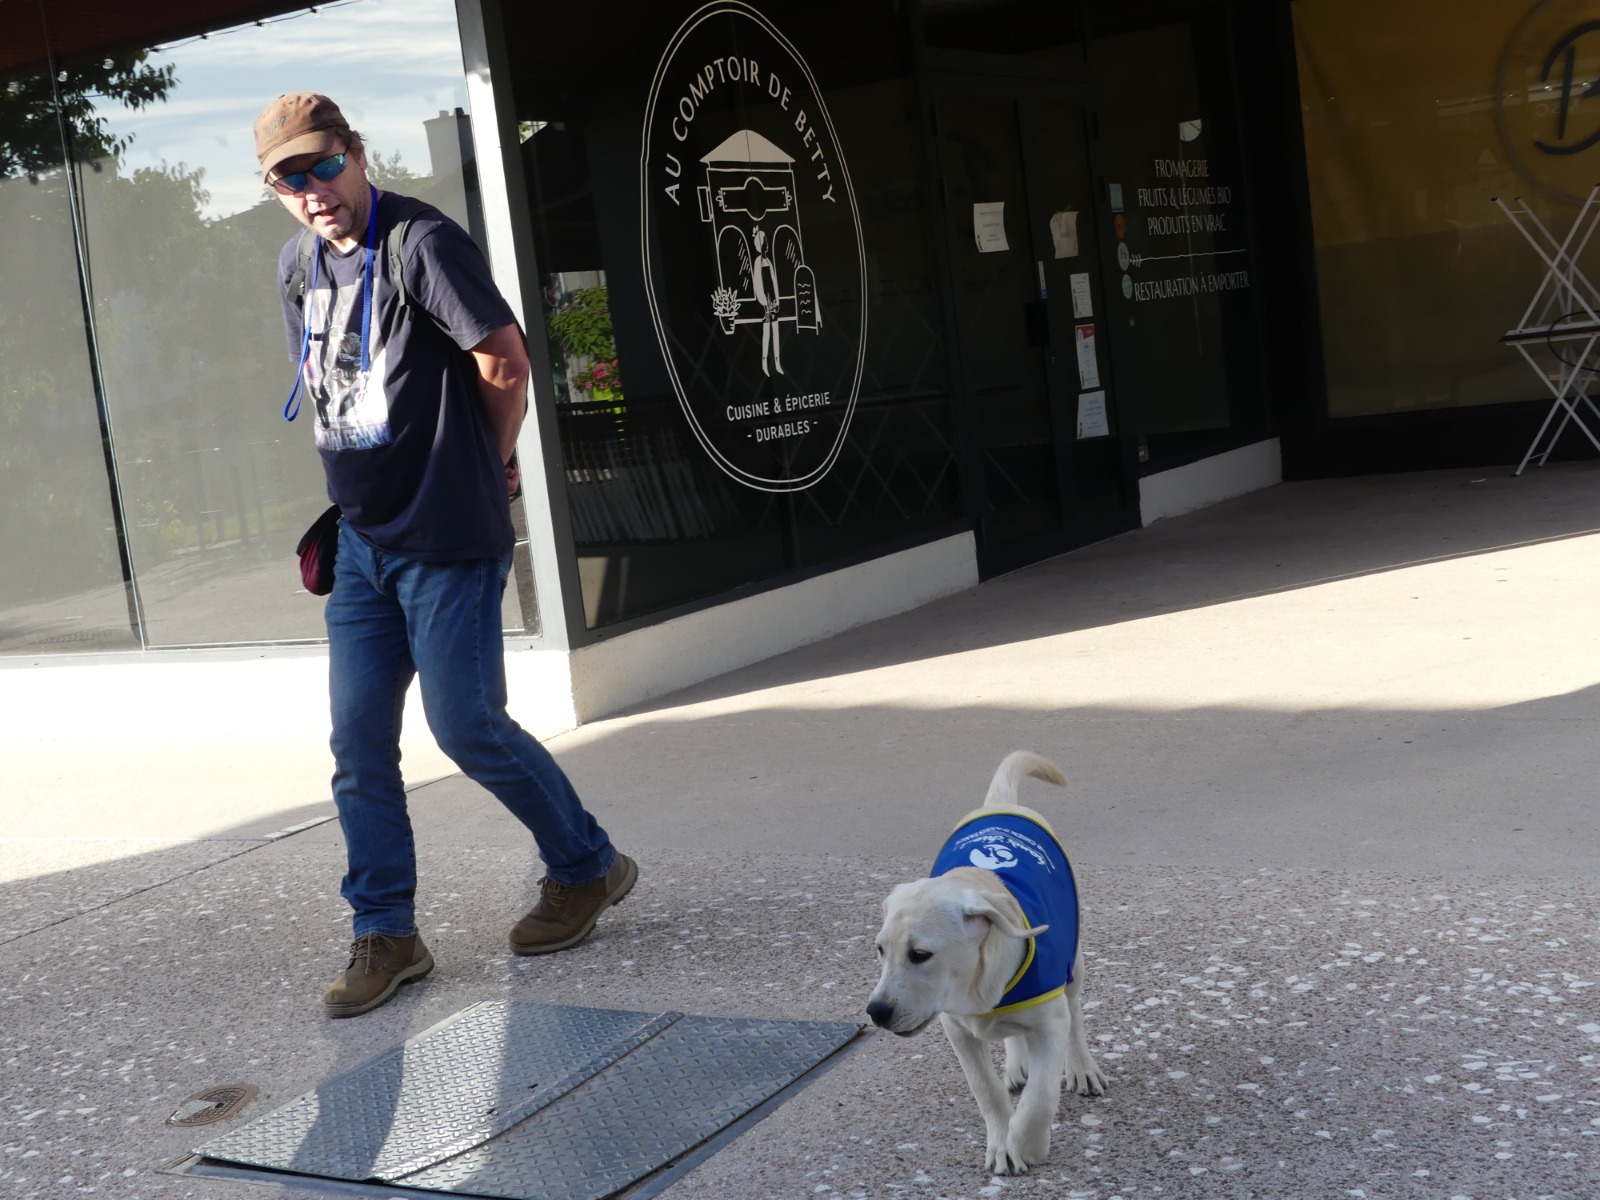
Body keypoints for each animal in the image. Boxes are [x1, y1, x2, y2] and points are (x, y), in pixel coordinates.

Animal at [867, 751, 1106, 1175]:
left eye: (920, 954)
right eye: (880, 950)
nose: (875, 1012)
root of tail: (999, 804)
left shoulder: (1050, 1023)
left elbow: (1041, 1095)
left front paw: (1026, 1144)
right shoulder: (957, 1029)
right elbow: (986, 1090)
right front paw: (1002, 1142)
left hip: (1073, 962)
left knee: (1075, 1011)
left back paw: (1081, 1066)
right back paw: (1016, 1064)